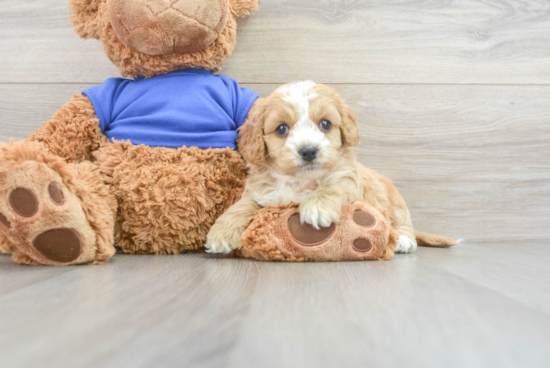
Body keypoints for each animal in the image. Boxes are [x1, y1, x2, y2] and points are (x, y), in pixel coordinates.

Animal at [206, 81, 458, 254]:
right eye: (281, 129)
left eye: (325, 124)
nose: (308, 151)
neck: (301, 180)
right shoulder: (261, 192)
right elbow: (242, 205)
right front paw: (221, 232)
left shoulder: (349, 181)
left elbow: (332, 187)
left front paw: (317, 208)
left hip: (395, 203)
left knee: (404, 224)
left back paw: (403, 240)